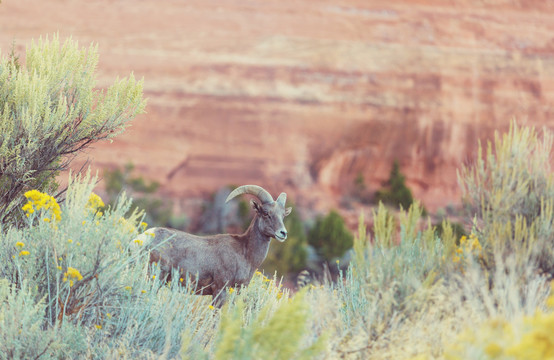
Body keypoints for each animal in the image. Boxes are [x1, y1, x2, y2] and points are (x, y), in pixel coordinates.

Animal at [143, 186, 288, 306]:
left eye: (283, 215)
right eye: (266, 213)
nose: (283, 233)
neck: (245, 254)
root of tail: (144, 237)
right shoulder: (220, 291)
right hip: (155, 277)